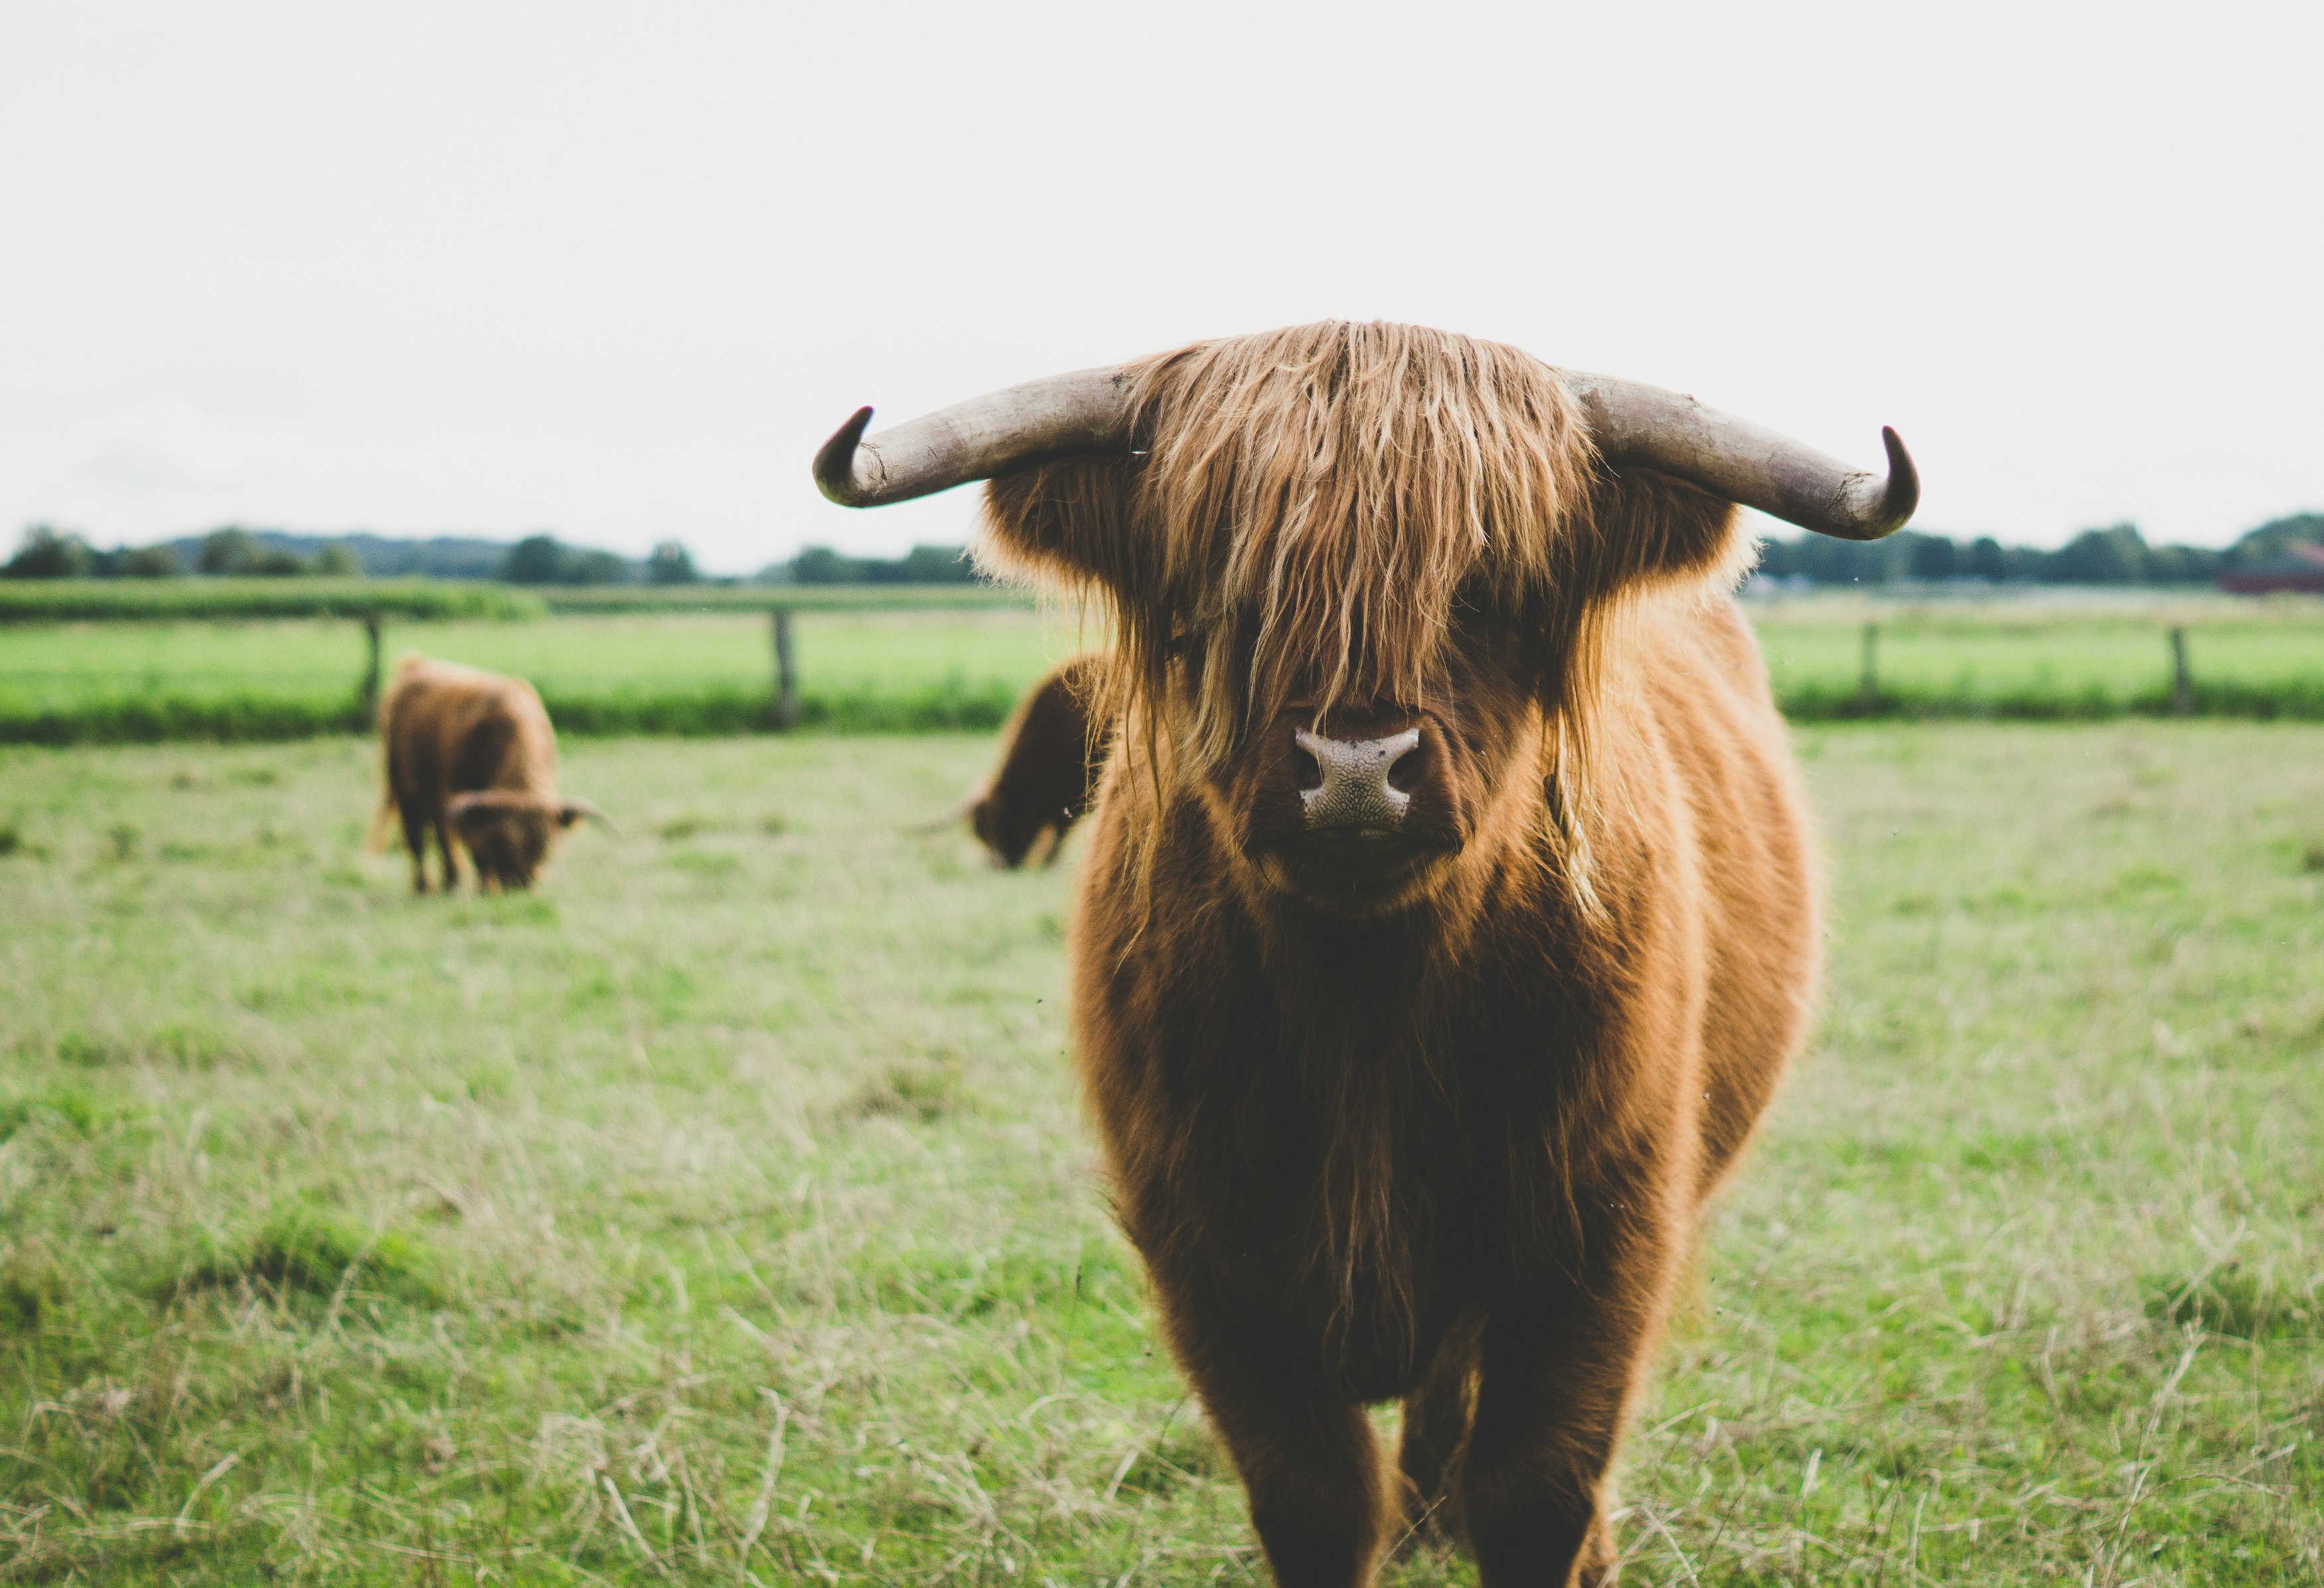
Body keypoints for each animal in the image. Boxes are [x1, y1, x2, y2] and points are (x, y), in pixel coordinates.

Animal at [369, 650, 609, 888]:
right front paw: (486, 888)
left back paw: (451, 879)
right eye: (503, 844)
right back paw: (426, 886)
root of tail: (416, 663)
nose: (518, 884)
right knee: (417, 836)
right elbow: (477, 849)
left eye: (543, 848)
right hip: (405, 789)